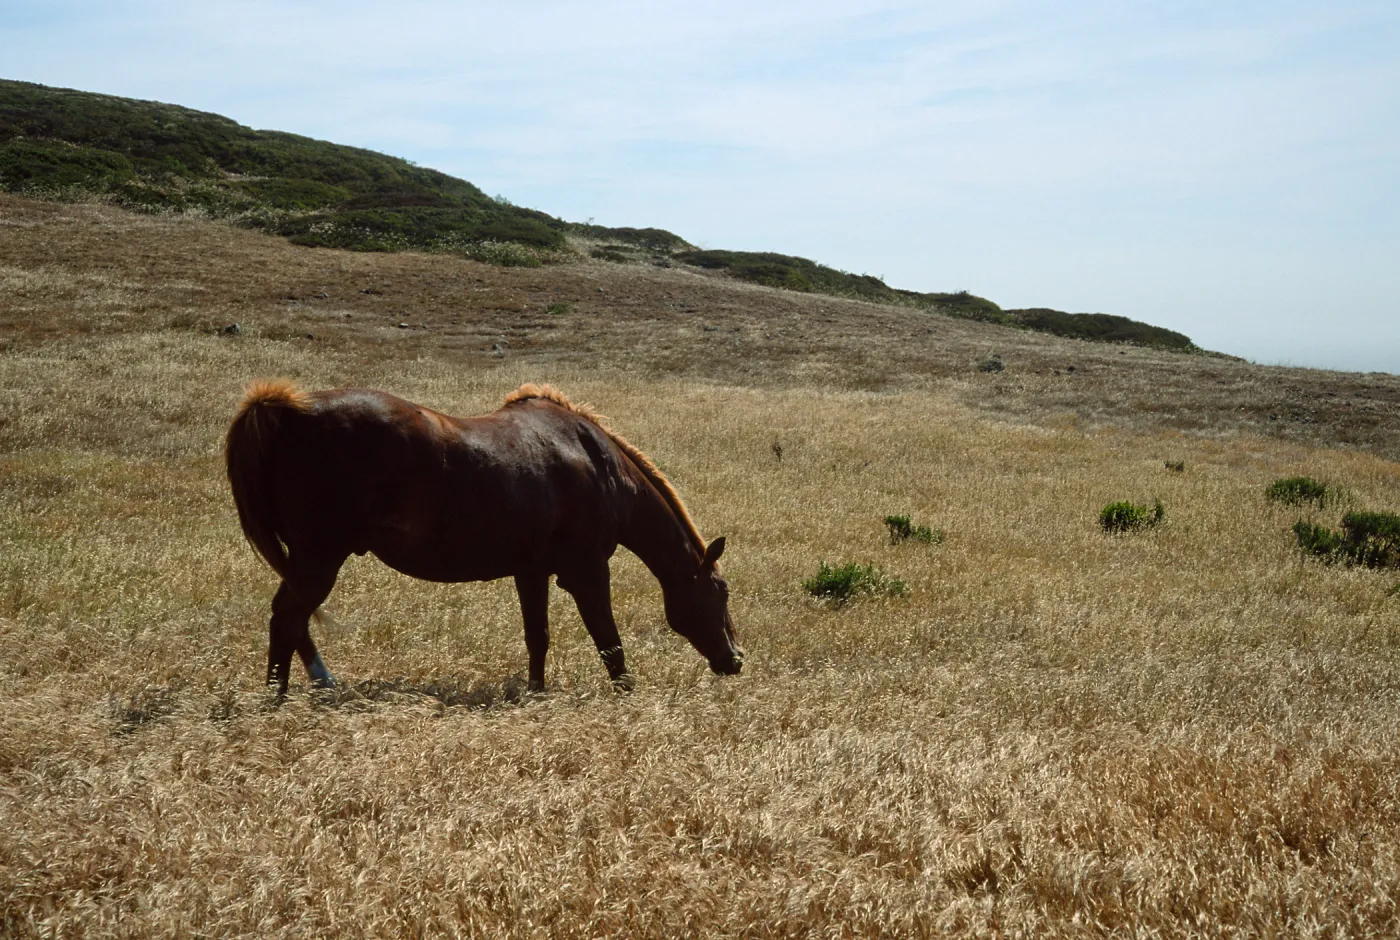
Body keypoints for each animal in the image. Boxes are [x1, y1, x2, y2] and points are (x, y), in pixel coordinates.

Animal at [225, 380, 744, 695]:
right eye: (720, 591)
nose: (735, 660)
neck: (596, 462)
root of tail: (285, 410)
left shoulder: (532, 572)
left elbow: (538, 638)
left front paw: (536, 693)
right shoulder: (587, 573)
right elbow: (608, 643)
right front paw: (627, 695)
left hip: (308, 561)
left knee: (293, 621)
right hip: (319, 558)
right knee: (288, 619)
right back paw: (282, 696)